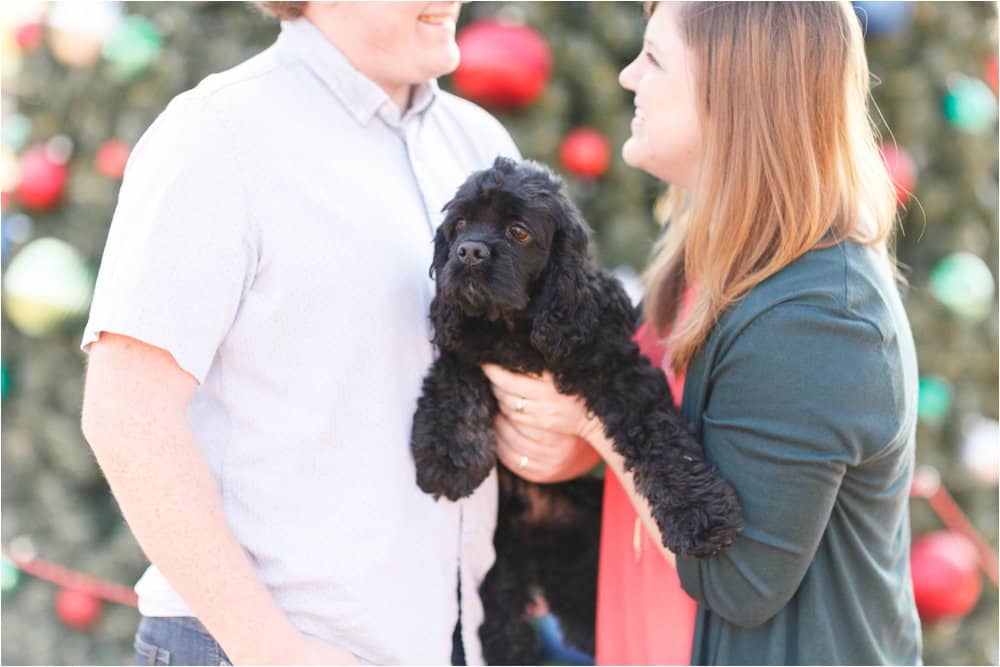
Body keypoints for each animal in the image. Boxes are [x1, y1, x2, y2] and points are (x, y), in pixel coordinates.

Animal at [408, 158, 744, 664]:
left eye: (519, 231)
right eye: (461, 225)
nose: (468, 253)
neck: (514, 326)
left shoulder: (615, 366)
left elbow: (661, 440)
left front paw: (700, 516)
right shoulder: (464, 341)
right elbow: (452, 379)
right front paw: (445, 458)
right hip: (499, 562)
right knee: (501, 625)